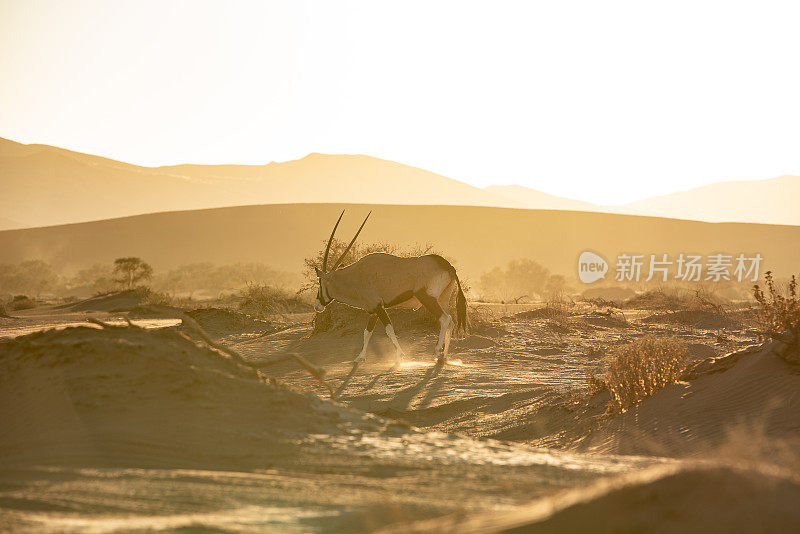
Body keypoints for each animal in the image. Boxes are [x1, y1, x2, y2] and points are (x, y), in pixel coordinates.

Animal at [314, 211, 468, 366]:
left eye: (320, 283)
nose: (317, 306)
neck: (357, 275)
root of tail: (448, 266)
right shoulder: (373, 311)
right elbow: (367, 332)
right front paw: (360, 357)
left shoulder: (378, 307)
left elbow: (389, 329)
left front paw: (400, 356)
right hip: (443, 299)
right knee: (451, 321)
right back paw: (445, 356)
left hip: (427, 298)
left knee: (445, 319)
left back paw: (437, 351)